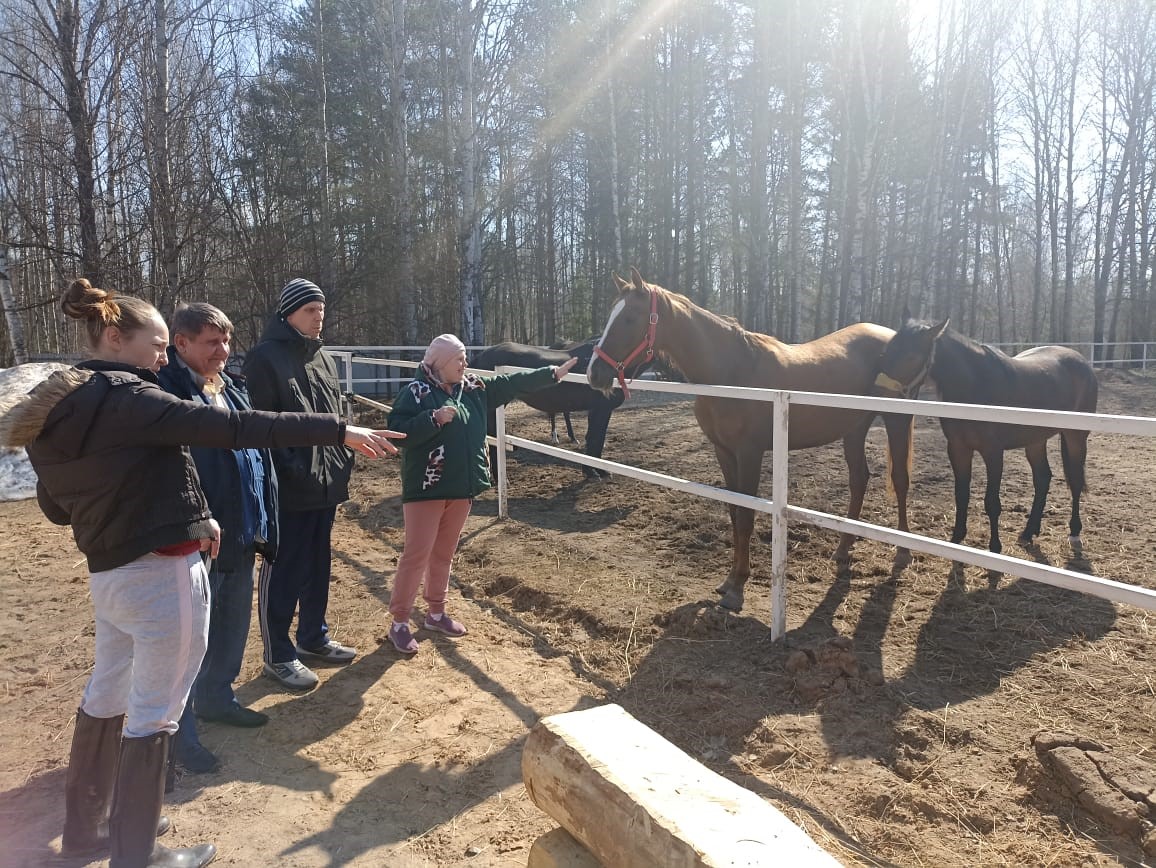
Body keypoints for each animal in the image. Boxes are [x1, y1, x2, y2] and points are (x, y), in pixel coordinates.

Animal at [587, 268, 910, 614]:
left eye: (630, 318)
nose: (594, 374)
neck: (731, 375)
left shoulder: (750, 453)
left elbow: (745, 517)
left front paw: (737, 589)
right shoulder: (724, 452)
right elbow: (733, 511)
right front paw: (729, 580)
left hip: (897, 421)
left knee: (899, 480)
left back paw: (903, 553)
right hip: (854, 428)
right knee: (859, 479)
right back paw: (842, 549)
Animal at [869, 318, 1095, 557]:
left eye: (911, 356)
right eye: (885, 353)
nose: (877, 396)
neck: (976, 386)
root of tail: (1081, 361)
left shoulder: (993, 453)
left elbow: (992, 502)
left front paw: (995, 547)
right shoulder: (958, 449)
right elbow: (961, 494)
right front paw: (956, 538)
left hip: (1075, 437)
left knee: (1076, 481)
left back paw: (1075, 534)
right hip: (1035, 440)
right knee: (1042, 478)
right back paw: (1028, 532)